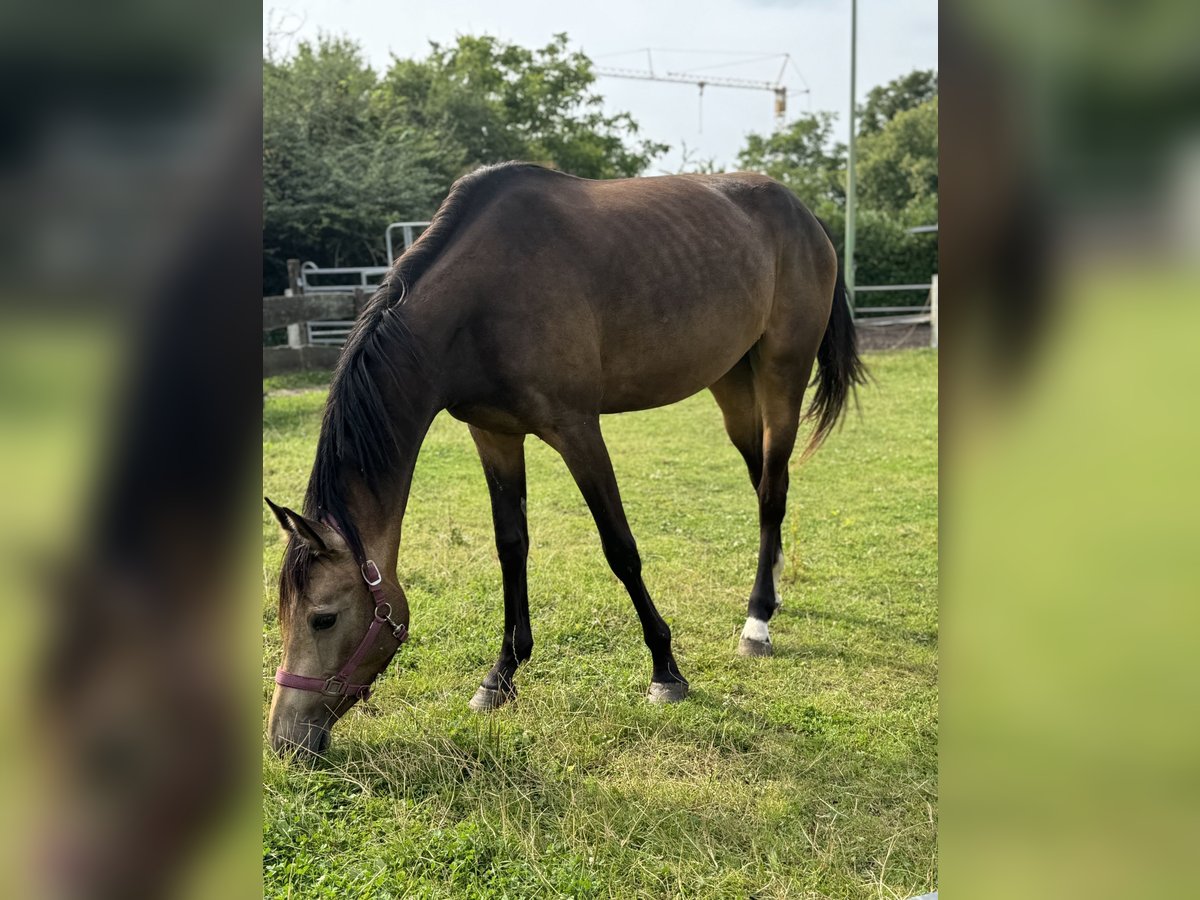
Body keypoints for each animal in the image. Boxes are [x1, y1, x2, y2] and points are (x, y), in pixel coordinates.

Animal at [265, 164, 864, 763]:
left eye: (323, 618)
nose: (285, 741)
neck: (482, 299)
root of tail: (802, 212)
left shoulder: (577, 431)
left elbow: (621, 549)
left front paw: (666, 671)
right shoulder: (494, 434)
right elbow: (511, 547)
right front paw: (500, 676)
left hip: (783, 374)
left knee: (772, 490)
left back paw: (757, 620)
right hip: (732, 383)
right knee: (764, 480)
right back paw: (774, 592)